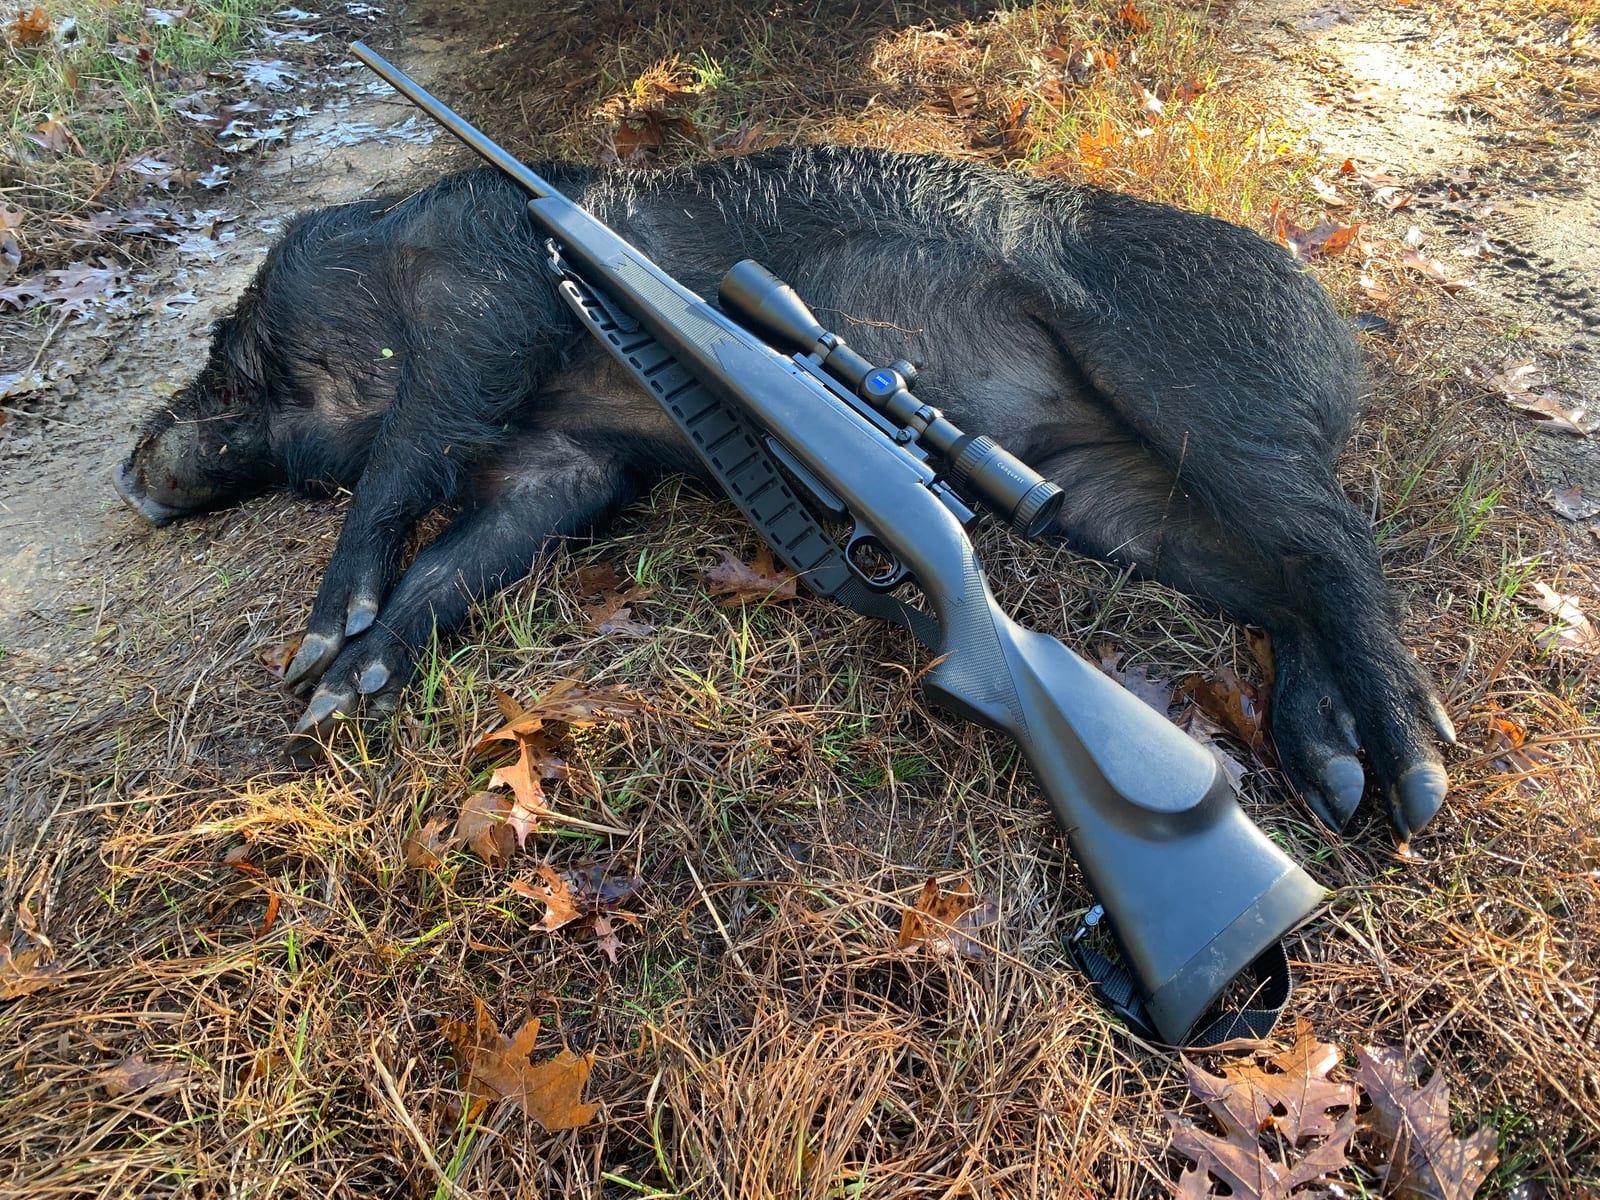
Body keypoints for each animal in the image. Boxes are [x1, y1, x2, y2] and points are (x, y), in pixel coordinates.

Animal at [115, 145, 1455, 839]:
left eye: (230, 344)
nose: (132, 473)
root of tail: (1340, 342)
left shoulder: (485, 298)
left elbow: (405, 456)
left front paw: (312, 651)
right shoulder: (564, 464)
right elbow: (460, 562)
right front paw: (333, 701)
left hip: (1209, 402)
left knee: (1336, 543)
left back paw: (1418, 782)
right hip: (1109, 492)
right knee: (1281, 585)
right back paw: (1337, 779)